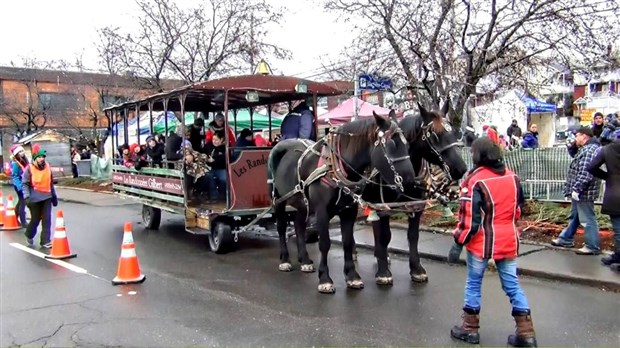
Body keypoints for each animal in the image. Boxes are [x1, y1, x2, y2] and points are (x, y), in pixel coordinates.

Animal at [268, 113, 416, 294]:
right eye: (391, 144)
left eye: (407, 144)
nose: (409, 181)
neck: (334, 166)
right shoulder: (321, 211)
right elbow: (324, 243)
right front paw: (325, 279)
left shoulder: (349, 210)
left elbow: (347, 241)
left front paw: (352, 276)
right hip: (278, 200)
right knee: (282, 227)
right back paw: (285, 259)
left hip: (302, 204)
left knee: (298, 226)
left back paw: (305, 260)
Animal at [364, 101, 464, 286]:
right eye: (434, 135)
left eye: (453, 132)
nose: (461, 168)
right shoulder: (382, 206)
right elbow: (385, 236)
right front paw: (383, 272)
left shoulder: (416, 205)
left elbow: (413, 236)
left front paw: (416, 269)